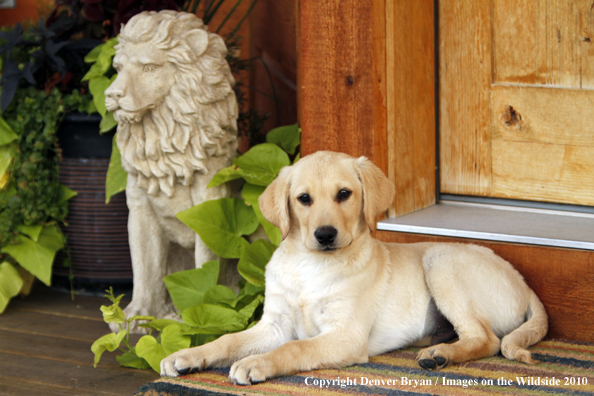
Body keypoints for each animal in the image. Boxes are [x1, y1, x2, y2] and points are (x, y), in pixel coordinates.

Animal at [158, 151, 544, 384]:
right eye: (303, 199)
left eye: (344, 194)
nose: (325, 234)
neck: (311, 265)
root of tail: (526, 287)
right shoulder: (274, 325)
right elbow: (227, 339)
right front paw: (187, 355)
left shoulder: (345, 334)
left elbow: (295, 348)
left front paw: (256, 363)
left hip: (442, 263)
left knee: (488, 339)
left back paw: (440, 355)